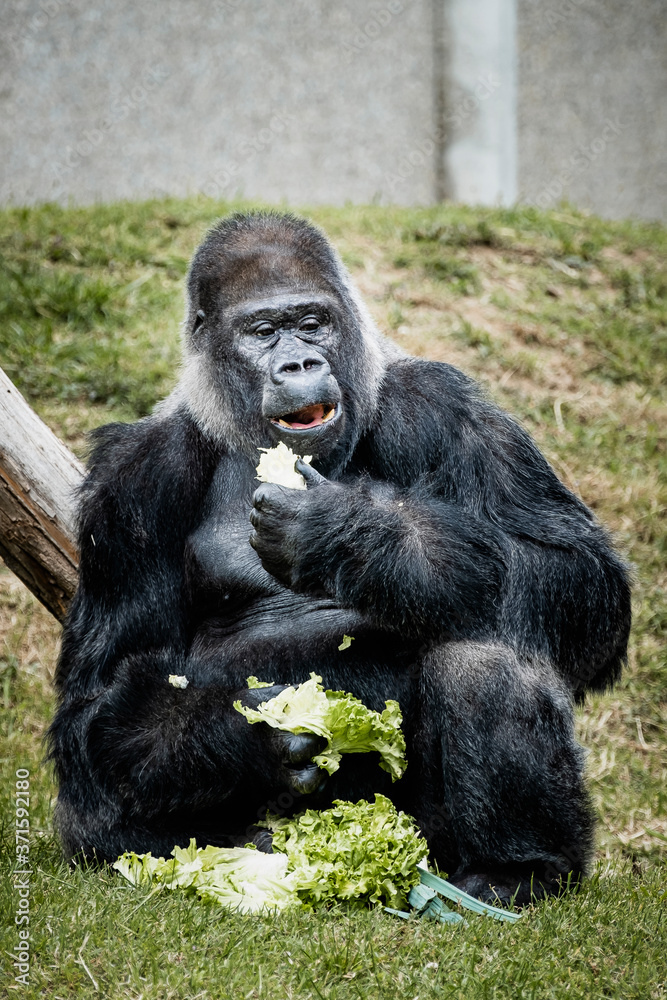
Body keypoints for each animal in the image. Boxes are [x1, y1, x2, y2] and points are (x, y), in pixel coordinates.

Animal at [47, 211, 632, 908]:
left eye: (312, 322)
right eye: (263, 332)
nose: (300, 360)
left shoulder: (438, 403)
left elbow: (575, 570)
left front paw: (351, 534)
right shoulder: (130, 482)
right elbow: (98, 699)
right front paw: (250, 736)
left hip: (432, 844)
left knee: (487, 645)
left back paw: (519, 867)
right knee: (90, 805)